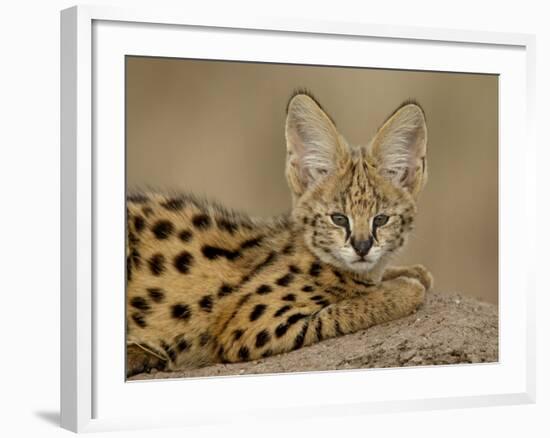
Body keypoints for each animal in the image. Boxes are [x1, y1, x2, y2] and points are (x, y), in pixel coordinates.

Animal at [126, 91, 436, 376]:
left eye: (381, 219)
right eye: (338, 219)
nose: (362, 246)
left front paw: (410, 272)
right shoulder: (250, 326)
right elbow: (344, 310)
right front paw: (403, 289)